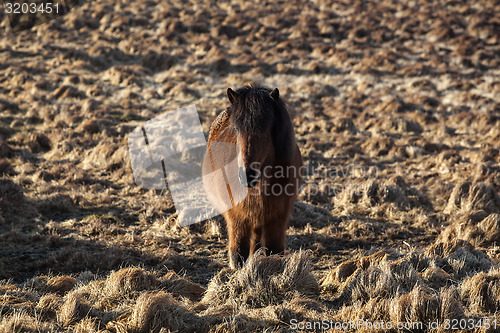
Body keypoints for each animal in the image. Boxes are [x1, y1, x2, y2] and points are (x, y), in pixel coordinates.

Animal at [202, 84, 302, 268]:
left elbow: (274, 251)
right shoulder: (237, 217)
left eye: (266, 131)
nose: (247, 175)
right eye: (236, 130)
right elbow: (238, 255)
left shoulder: (278, 216)